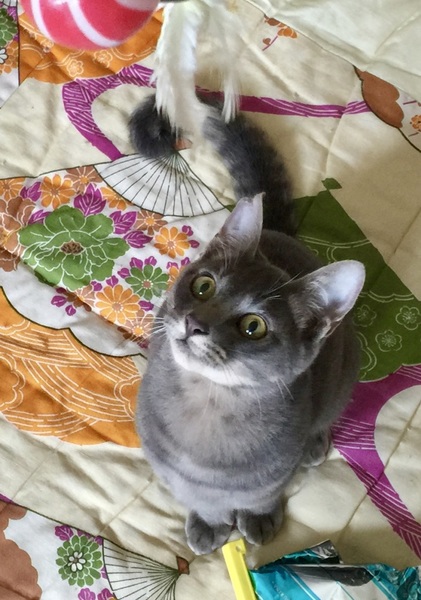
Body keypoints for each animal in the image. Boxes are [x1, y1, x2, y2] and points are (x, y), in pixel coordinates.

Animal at [129, 94, 365, 555]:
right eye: (203, 285)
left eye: (254, 326)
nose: (194, 322)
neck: (207, 405)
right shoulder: (169, 468)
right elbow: (201, 497)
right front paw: (209, 522)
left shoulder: (271, 474)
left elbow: (262, 495)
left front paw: (258, 519)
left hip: (344, 372)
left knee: (327, 413)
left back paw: (315, 442)